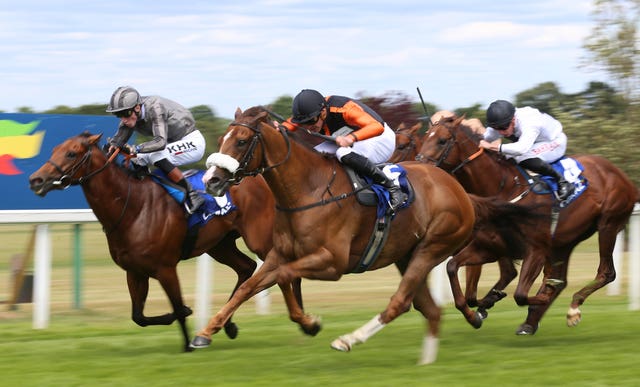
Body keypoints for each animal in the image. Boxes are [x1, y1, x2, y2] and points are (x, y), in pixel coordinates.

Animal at [28, 132, 312, 354]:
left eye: (71, 153)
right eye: (54, 150)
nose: (36, 180)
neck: (132, 207)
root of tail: (261, 178)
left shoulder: (165, 268)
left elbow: (176, 305)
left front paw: (189, 336)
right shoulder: (135, 271)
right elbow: (139, 316)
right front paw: (189, 326)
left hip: (259, 240)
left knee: (278, 271)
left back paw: (302, 321)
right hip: (219, 245)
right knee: (246, 268)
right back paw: (229, 323)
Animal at [190, 105, 540, 364]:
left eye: (241, 141)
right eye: (222, 138)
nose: (211, 181)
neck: (308, 190)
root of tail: (460, 191)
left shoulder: (332, 263)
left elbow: (284, 276)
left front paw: (310, 322)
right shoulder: (280, 253)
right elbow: (250, 286)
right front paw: (206, 331)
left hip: (433, 247)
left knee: (400, 302)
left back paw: (349, 339)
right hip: (407, 254)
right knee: (428, 309)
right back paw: (429, 357)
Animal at [418, 114, 636, 334]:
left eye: (442, 141)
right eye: (425, 136)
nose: (420, 164)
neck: (504, 189)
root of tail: (623, 177)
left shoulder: (535, 250)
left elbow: (520, 295)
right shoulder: (488, 248)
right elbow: (453, 269)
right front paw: (477, 313)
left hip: (607, 225)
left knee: (606, 272)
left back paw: (572, 307)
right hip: (565, 242)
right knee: (562, 280)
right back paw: (530, 321)